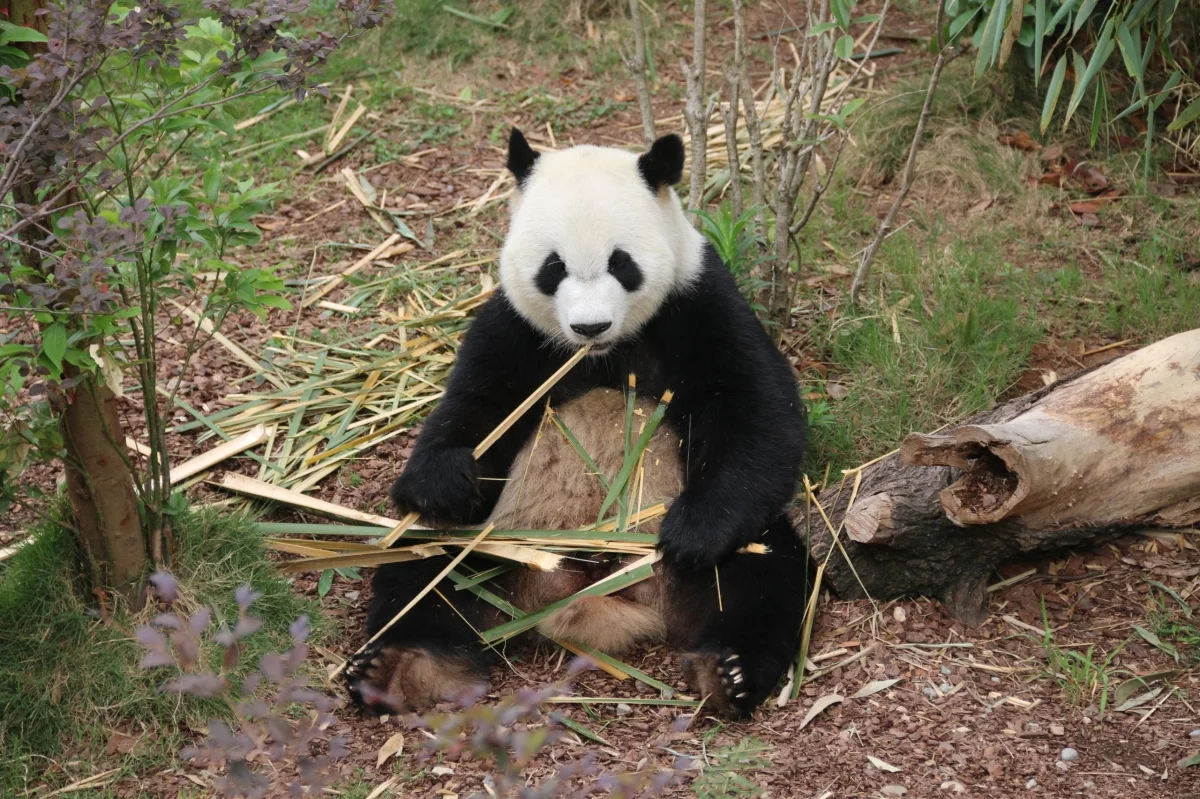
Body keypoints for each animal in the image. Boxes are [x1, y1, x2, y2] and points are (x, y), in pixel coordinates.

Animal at [343, 129, 809, 718]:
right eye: (553, 267)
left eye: (622, 263)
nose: (590, 326)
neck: (603, 354)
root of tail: (583, 589)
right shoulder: (513, 326)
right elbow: (474, 408)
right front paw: (443, 484)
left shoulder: (698, 300)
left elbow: (757, 411)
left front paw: (690, 534)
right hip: (498, 538)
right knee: (424, 569)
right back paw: (399, 668)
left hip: (730, 551)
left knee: (763, 572)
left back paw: (731, 671)